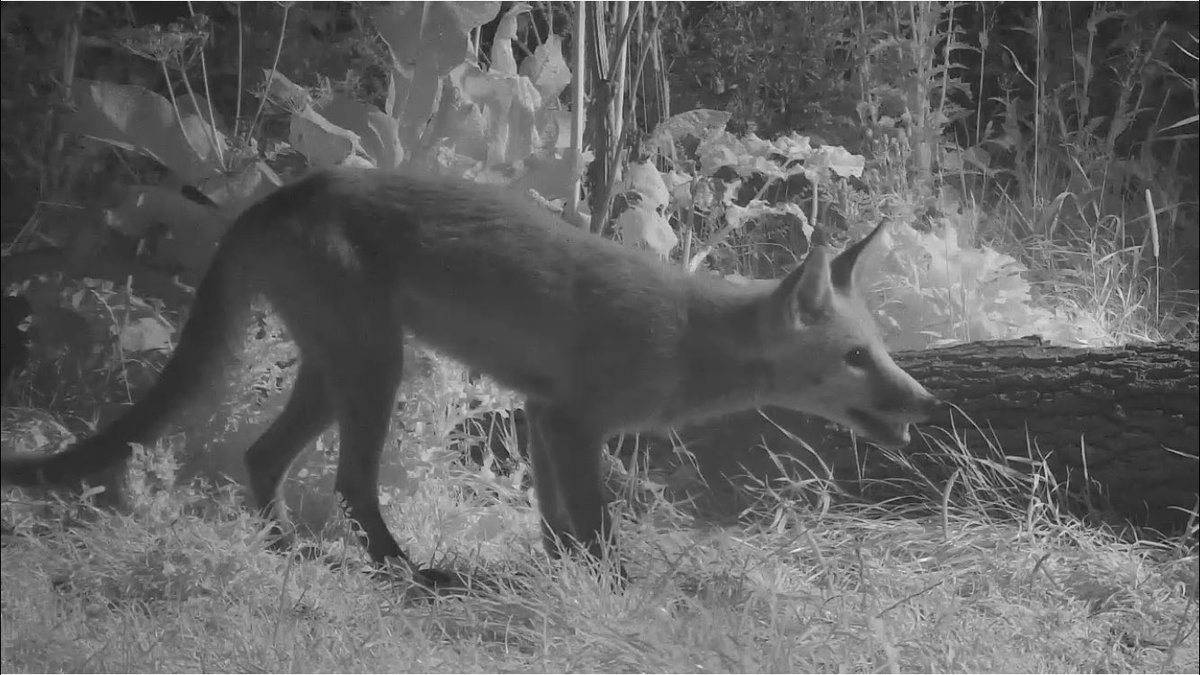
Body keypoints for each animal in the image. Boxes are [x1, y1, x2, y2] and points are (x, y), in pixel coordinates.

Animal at [1, 168, 940, 586]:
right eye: (858, 358)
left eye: (882, 349)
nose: (924, 400)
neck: (687, 336)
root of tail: (296, 186)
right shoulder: (572, 422)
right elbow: (596, 528)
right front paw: (615, 591)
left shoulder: (537, 412)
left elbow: (560, 526)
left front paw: (563, 583)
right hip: (378, 370)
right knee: (348, 481)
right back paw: (404, 571)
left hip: (336, 370)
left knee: (262, 459)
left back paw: (286, 552)